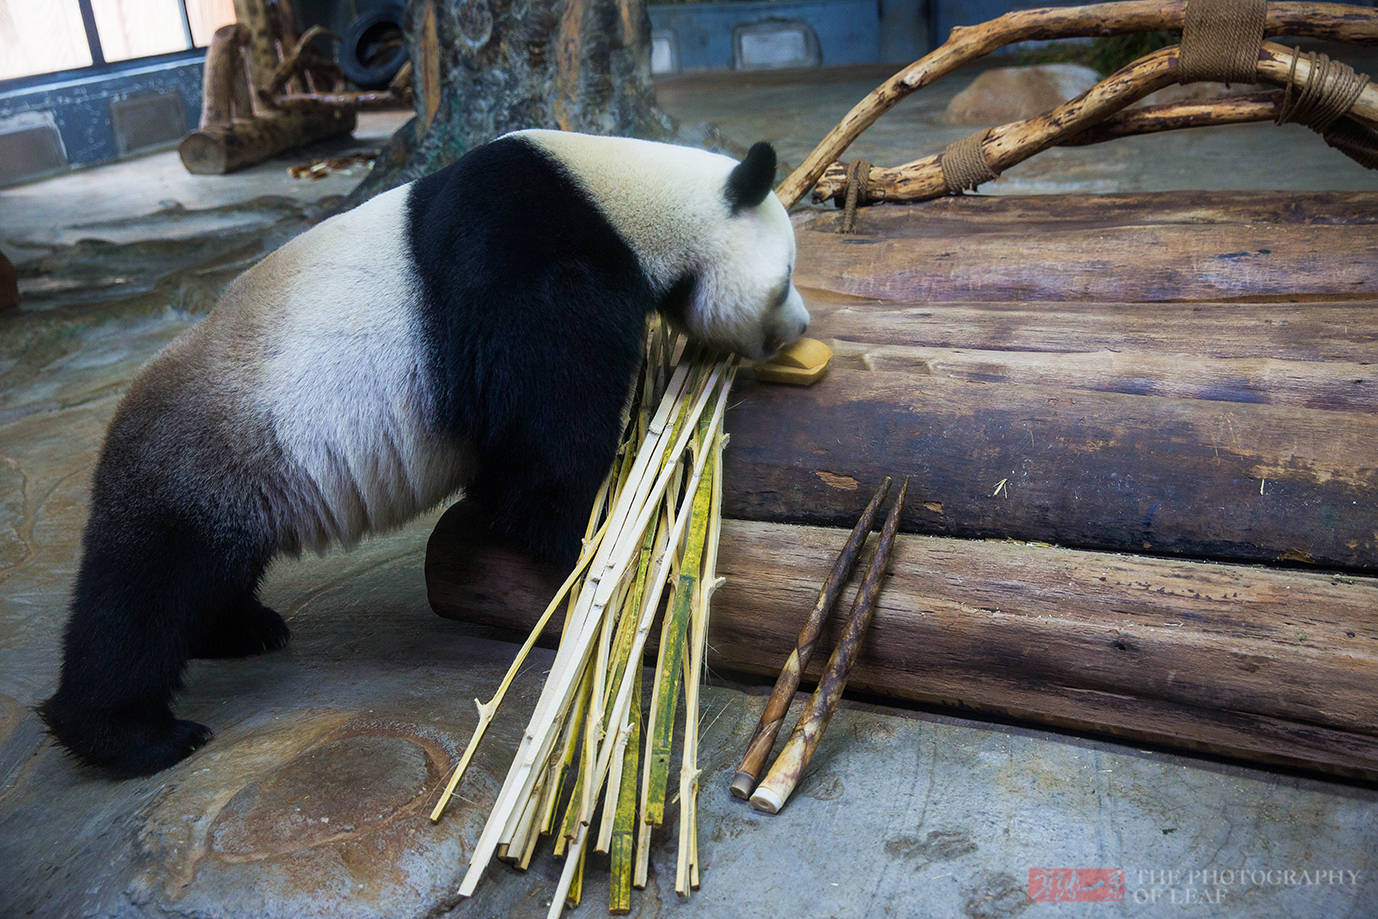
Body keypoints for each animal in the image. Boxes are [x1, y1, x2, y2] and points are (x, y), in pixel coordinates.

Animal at [37, 129, 810, 777]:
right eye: (787, 276)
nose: (799, 328)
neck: (625, 198)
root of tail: (120, 420)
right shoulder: (533, 260)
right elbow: (547, 423)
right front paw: (584, 535)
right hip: (194, 465)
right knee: (141, 594)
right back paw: (132, 735)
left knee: (213, 574)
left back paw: (242, 630)